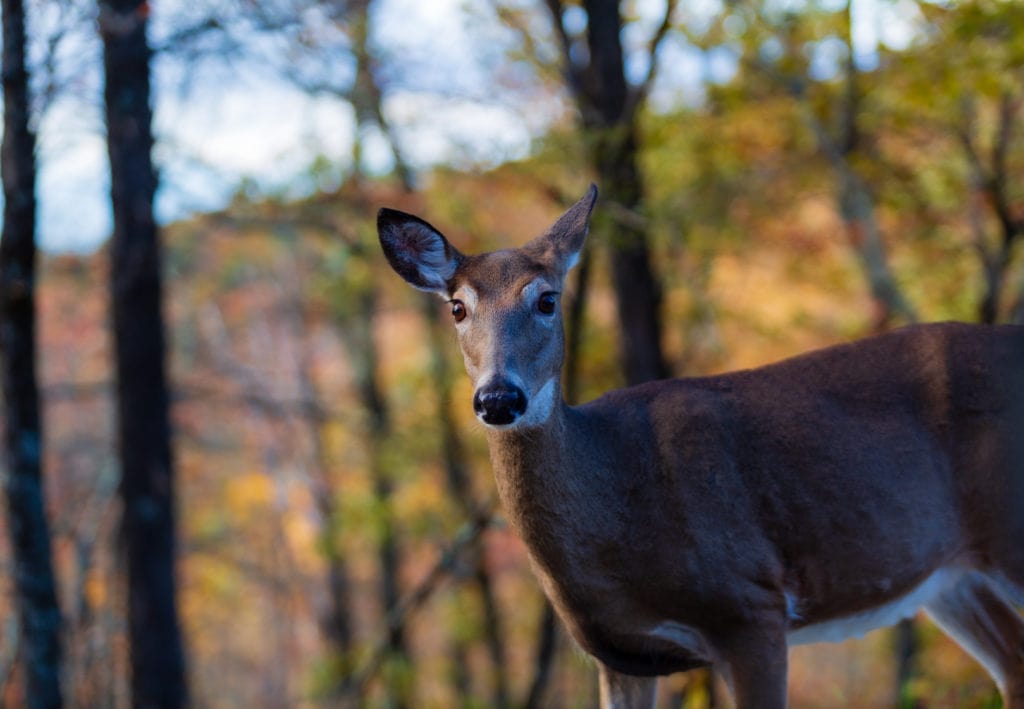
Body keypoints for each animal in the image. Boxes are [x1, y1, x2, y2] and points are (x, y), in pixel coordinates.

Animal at [378, 185, 1024, 704]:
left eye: (547, 299)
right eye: (457, 307)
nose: (498, 398)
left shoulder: (751, 606)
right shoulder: (622, 655)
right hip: (953, 576)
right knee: (1013, 665)